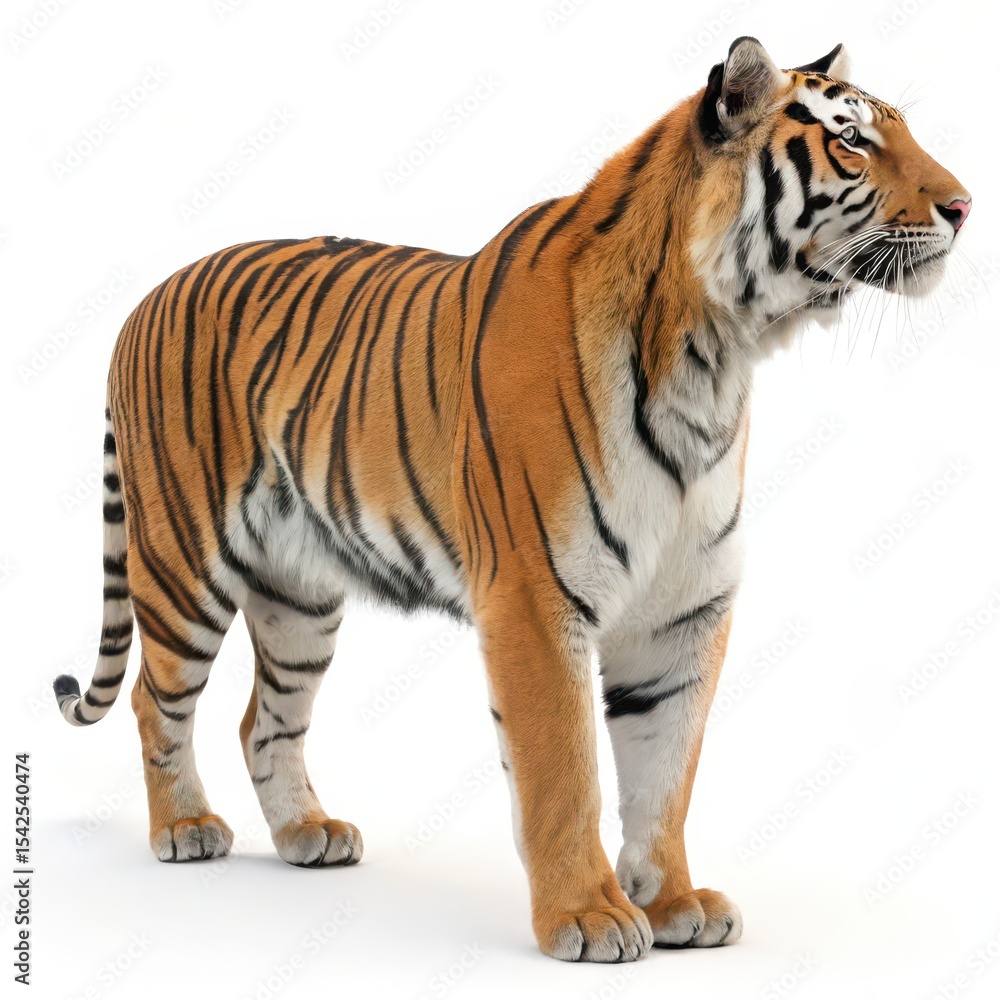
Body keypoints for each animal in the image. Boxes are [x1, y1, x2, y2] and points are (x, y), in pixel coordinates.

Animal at [54, 36, 969, 962]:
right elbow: (563, 769)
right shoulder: (535, 596)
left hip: (298, 600)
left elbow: (666, 771)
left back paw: (307, 834)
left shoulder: (685, 609)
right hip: (182, 565)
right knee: (155, 697)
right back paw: (186, 828)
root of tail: (145, 300)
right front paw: (589, 916)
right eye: (851, 141)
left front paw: (674, 901)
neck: (717, 354)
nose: (965, 206)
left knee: (264, 720)